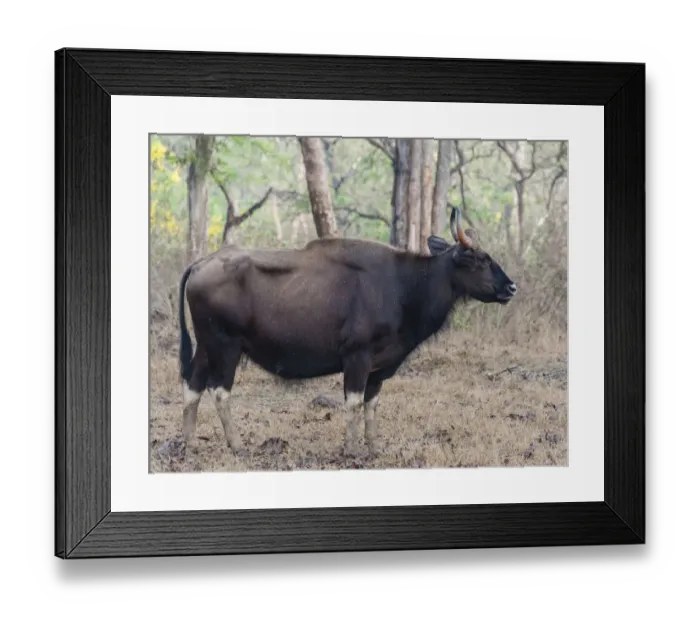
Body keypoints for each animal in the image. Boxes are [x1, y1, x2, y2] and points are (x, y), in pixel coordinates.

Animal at [177, 207, 517, 458]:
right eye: (479, 260)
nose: (511, 287)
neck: (405, 287)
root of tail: (199, 264)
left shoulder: (379, 368)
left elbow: (371, 404)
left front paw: (375, 447)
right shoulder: (357, 356)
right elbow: (353, 402)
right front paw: (352, 449)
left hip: (206, 346)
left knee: (193, 384)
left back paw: (191, 442)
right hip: (226, 346)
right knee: (219, 390)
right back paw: (236, 445)